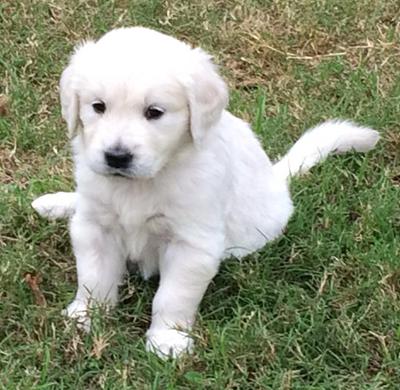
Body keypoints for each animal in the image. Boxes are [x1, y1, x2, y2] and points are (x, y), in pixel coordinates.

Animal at [32, 26, 380, 356]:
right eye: (98, 107)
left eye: (154, 112)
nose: (117, 157)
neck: (148, 180)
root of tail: (277, 179)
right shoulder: (94, 227)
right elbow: (93, 278)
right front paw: (84, 318)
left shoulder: (192, 244)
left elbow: (172, 296)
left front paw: (167, 340)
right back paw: (55, 203)